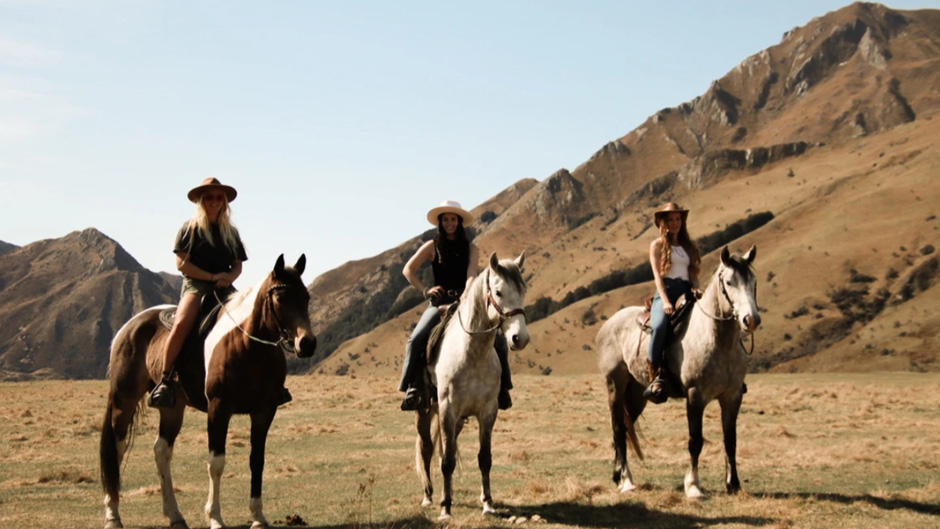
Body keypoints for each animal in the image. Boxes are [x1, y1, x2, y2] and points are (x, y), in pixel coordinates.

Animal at [100, 254, 316, 524]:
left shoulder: (264, 411)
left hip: (172, 408)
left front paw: (257, 516)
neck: (249, 348)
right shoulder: (218, 409)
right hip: (124, 400)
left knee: (161, 450)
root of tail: (128, 327)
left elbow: (257, 460)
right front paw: (214, 517)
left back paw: (175, 515)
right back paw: (112, 515)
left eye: (306, 297)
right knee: (116, 450)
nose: (307, 343)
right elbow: (216, 463)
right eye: (280, 298)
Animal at [414, 252, 528, 520]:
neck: (472, 354)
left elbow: (483, 458)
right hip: (426, 410)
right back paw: (429, 496)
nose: (520, 338)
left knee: (445, 449)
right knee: (427, 449)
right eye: (498, 292)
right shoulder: (447, 409)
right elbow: (446, 461)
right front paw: (445, 509)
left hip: (456, 419)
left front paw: (487, 503)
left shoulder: (487, 411)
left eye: (523, 290)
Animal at [600, 245, 760, 498]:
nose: (750, 320)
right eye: (729, 282)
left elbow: (730, 440)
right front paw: (693, 486)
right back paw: (626, 481)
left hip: (636, 394)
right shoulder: (695, 395)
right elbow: (695, 441)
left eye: (753, 281)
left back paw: (618, 476)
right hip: (615, 385)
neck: (717, 340)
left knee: (624, 428)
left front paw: (733, 484)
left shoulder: (732, 396)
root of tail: (609, 323)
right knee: (617, 428)